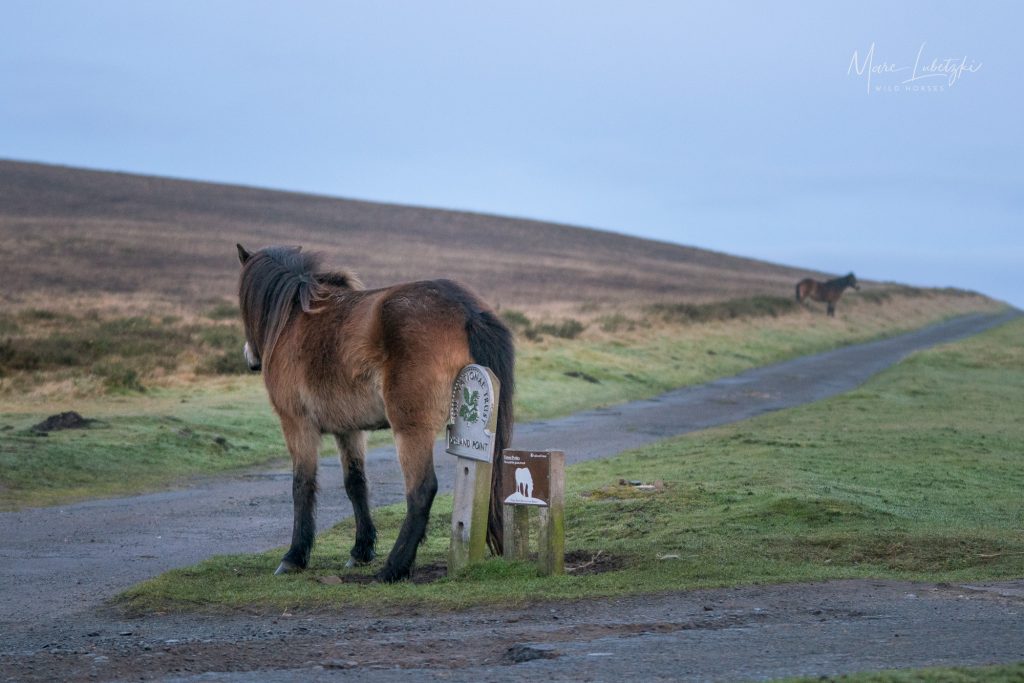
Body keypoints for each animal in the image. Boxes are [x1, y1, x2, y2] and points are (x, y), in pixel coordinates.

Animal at [236, 244, 514, 582]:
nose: (250, 358)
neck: (294, 320)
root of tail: (466, 310)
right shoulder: (348, 430)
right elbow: (356, 484)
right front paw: (361, 550)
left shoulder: (297, 425)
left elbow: (302, 485)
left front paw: (294, 556)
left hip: (410, 430)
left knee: (421, 491)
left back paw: (394, 567)